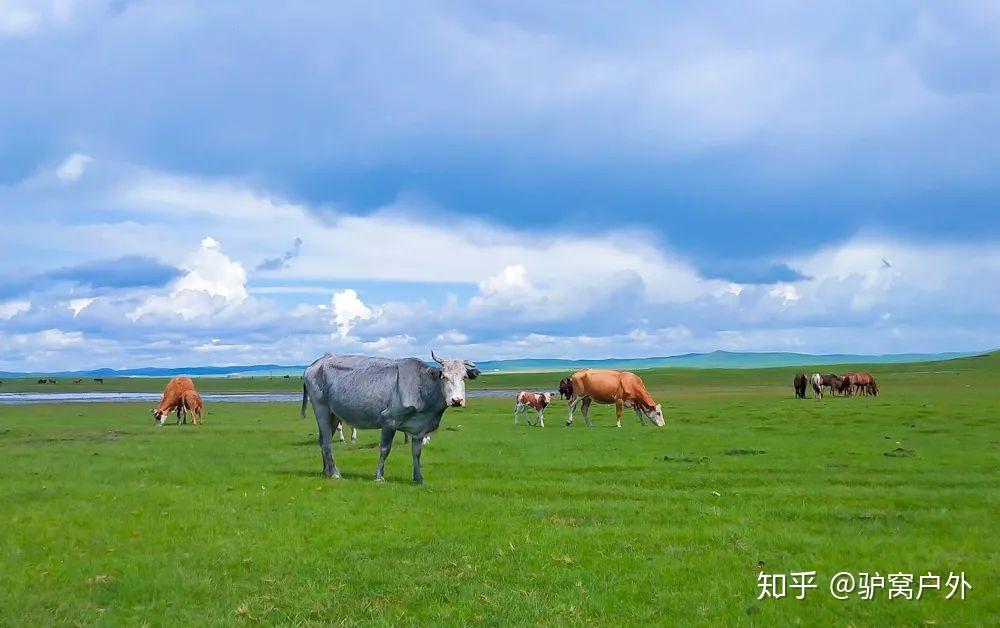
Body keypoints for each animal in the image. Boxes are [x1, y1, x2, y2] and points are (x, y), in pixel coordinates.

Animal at [300, 350, 480, 484]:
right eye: (444, 376)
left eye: (464, 377)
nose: (456, 400)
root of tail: (319, 361)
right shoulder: (389, 421)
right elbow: (385, 449)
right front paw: (379, 476)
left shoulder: (419, 429)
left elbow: (417, 453)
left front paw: (418, 478)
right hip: (321, 409)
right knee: (327, 443)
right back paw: (336, 473)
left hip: (333, 414)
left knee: (322, 440)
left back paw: (326, 471)